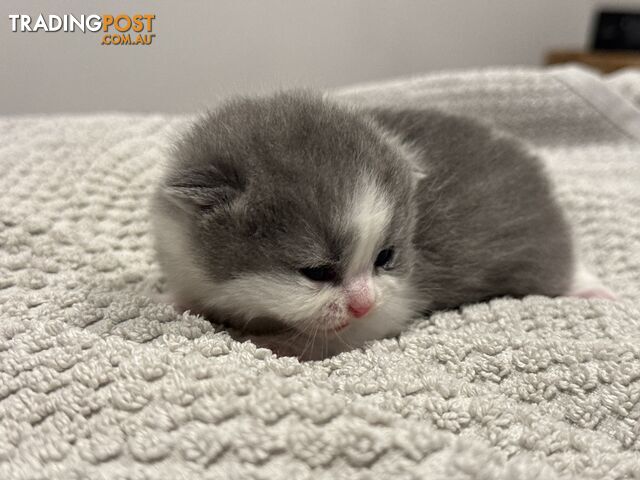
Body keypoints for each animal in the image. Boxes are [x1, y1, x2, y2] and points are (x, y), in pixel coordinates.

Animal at [151, 91, 616, 360]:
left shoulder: (393, 302)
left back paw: (590, 287)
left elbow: (341, 335)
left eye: (385, 258)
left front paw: (274, 343)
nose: (362, 302)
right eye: (316, 271)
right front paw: (170, 301)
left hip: (541, 248)